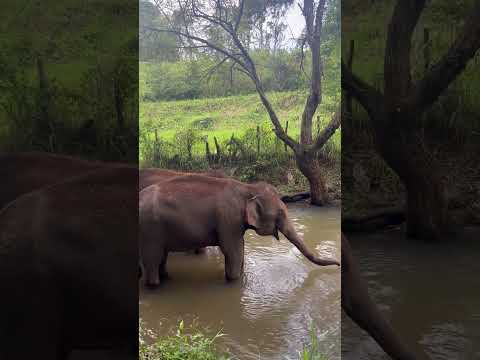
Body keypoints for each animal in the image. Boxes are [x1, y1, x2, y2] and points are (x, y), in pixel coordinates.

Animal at [141, 173, 340, 288]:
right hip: (150, 231)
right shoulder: (228, 219)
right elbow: (233, 251)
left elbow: (240, 249)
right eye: (280, 213)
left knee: (161, 258)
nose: (338, 265)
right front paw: (234, 282)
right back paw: (154, 286)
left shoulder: (235, 223)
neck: (247, 188)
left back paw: (167, 279)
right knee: (152, 260)